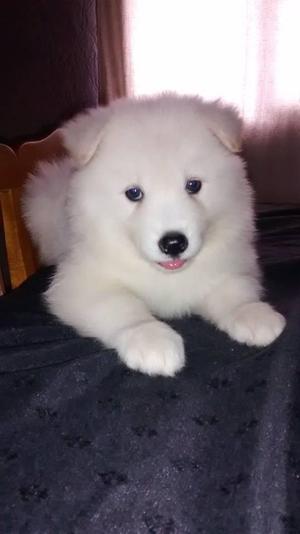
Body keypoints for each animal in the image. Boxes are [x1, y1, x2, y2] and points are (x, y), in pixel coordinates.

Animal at [23, 94, 286, 376]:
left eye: (193, 185)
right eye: (133, 193)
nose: (173, 243)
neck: (165, 275)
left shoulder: (232, 263)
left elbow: (234, 289)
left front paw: (253, 315)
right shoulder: (79, 283)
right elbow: (121, 305)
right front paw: (151, 341)